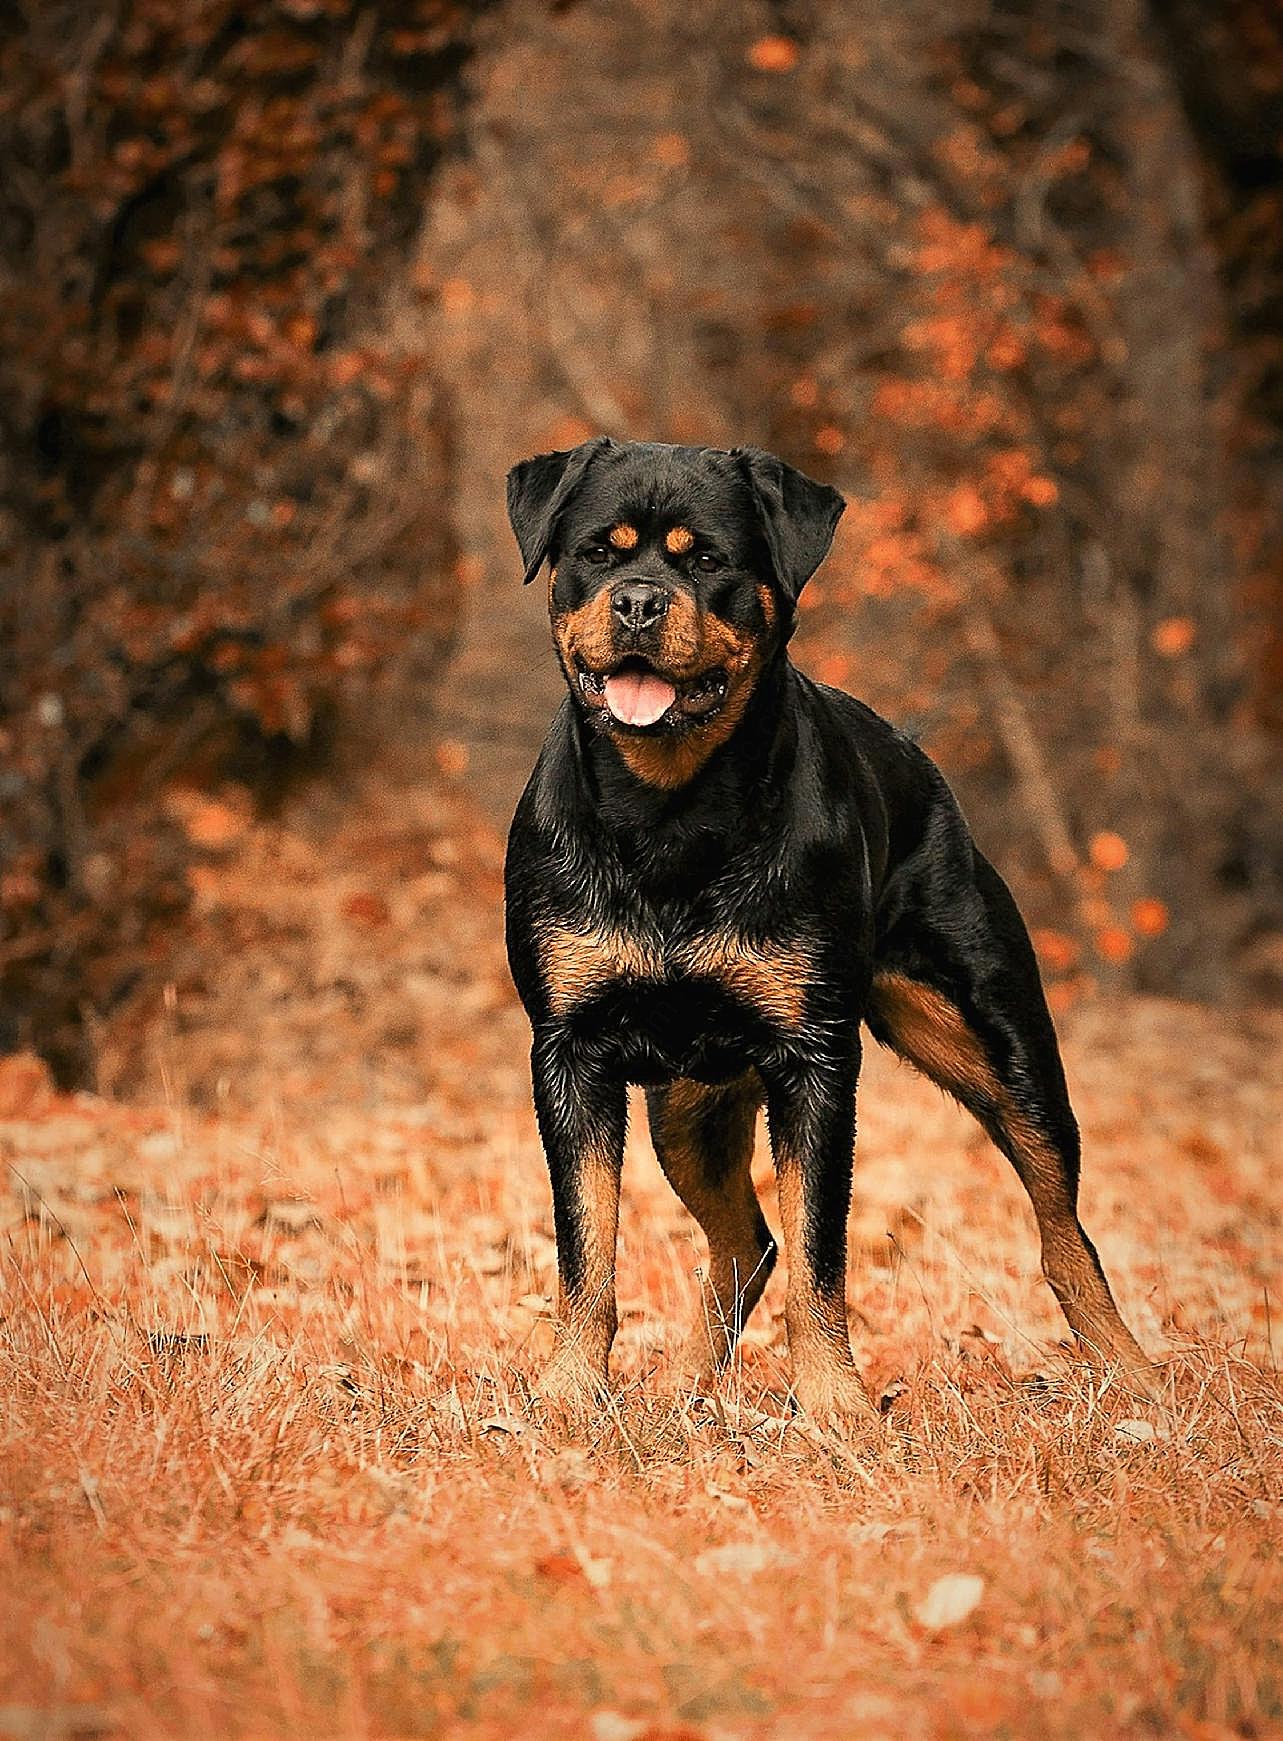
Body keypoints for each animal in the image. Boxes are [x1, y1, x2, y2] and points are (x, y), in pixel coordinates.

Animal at [501, 431, 1148, 1413]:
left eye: (709, 562)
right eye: (597, 554)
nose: (640, 601)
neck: (670, 813)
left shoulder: (814, 1056)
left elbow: (820, 1248)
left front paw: (836, 1406)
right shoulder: (569, 1049)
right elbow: (587, 1244)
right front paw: (571, 1390)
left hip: (999, 1043)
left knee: (1060, 1222)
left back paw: (1131, 1370)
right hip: (685, 1103)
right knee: (745, 1241)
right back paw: (685, 1387)